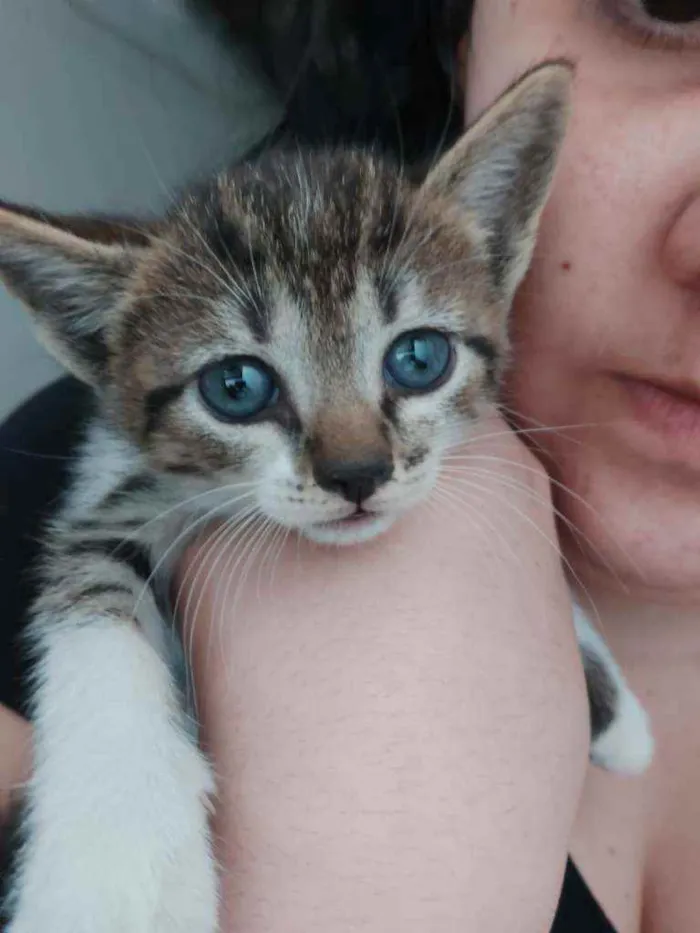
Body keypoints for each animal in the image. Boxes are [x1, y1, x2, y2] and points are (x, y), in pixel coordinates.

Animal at [0, 65, 652, 932]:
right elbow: (90, 592)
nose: (357, 472)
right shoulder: (111, 484)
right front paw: (111, 873)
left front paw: (613, 706)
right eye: (237, 386)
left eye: (419, 357)